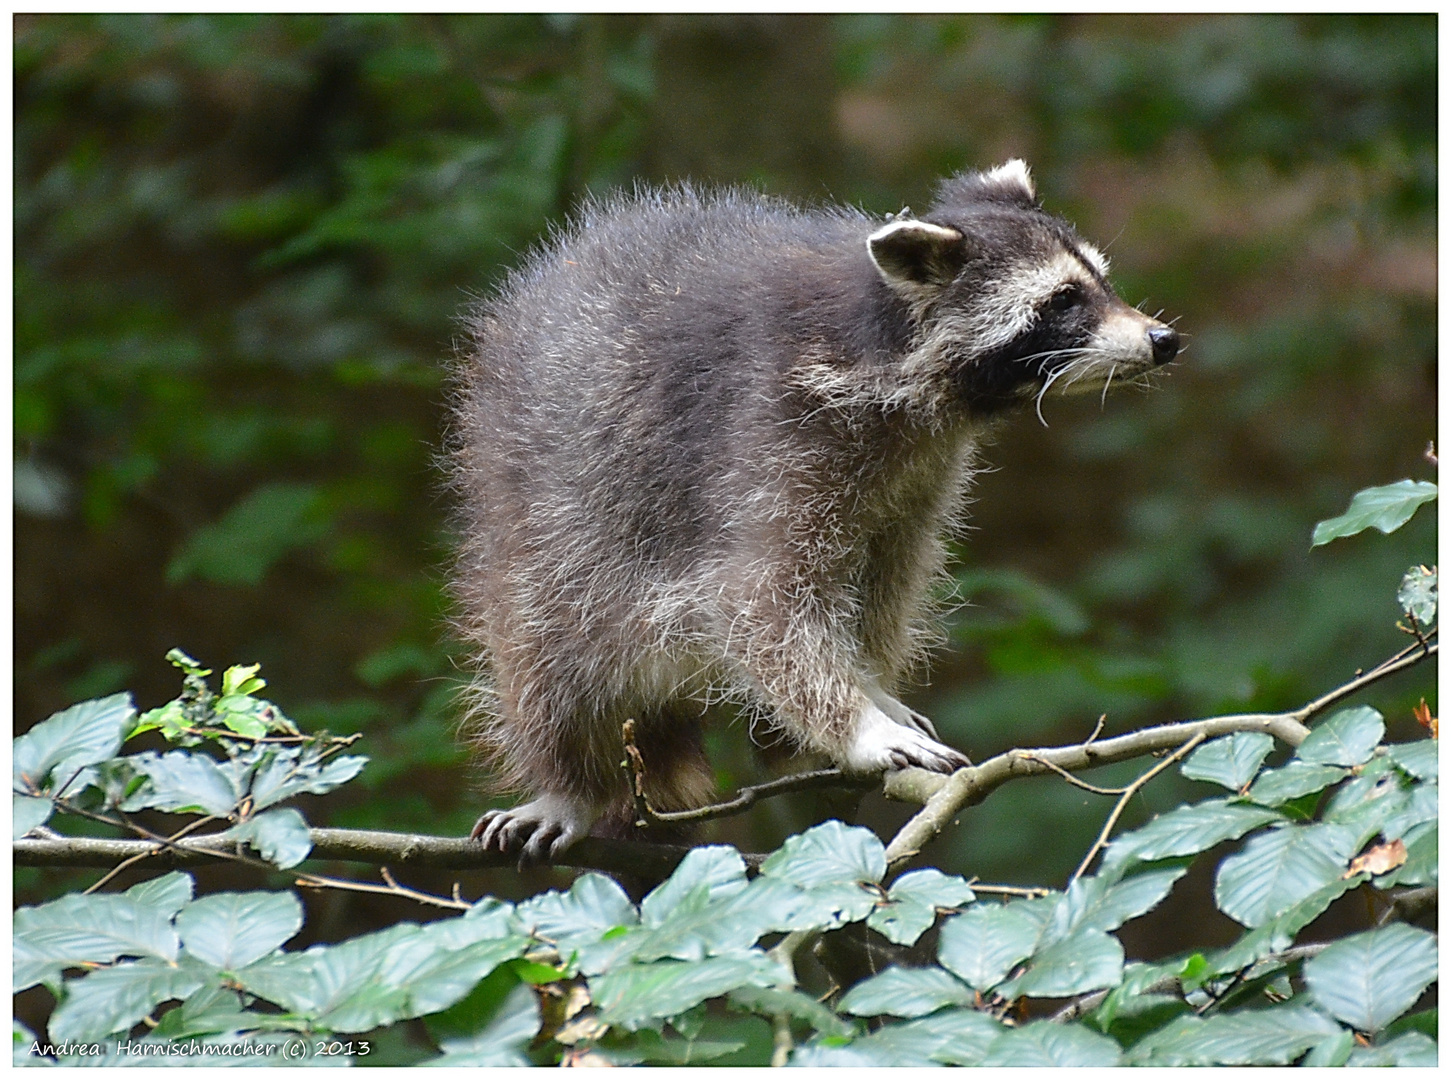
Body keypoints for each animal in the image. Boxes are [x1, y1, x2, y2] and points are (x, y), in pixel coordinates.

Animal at [452, 160, 1178, 859]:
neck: (891, 342)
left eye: (1100, 280)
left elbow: (887, 577)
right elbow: (759, 598)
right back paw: (569, 781)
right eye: (1063, 300)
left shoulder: (921, 470)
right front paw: (860, 723)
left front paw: (873, 686)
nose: (1163, 339)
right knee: (543, 644)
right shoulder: (768, 433)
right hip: (539, 505)